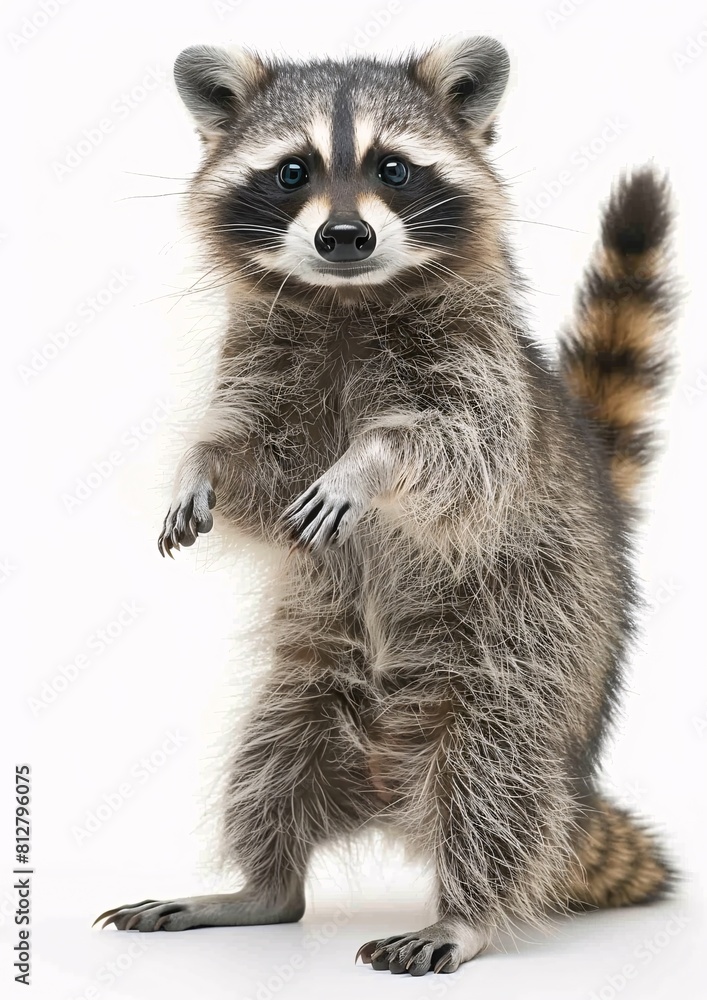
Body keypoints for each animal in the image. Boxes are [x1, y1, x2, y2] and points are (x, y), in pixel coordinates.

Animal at [96, 38, 677, 975]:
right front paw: (198, 465)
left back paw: (465, 911)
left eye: (393, 169)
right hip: (310, 680)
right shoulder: (263, 357)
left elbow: (454, 450)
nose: (345, 236)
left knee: (496, 779)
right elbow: (251, 460)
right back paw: (259, 884)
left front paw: (365, 465)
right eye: (292, 170)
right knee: (267, 765)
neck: (346, 297)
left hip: (529, 647)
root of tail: (386, 789)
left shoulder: (477, 370)